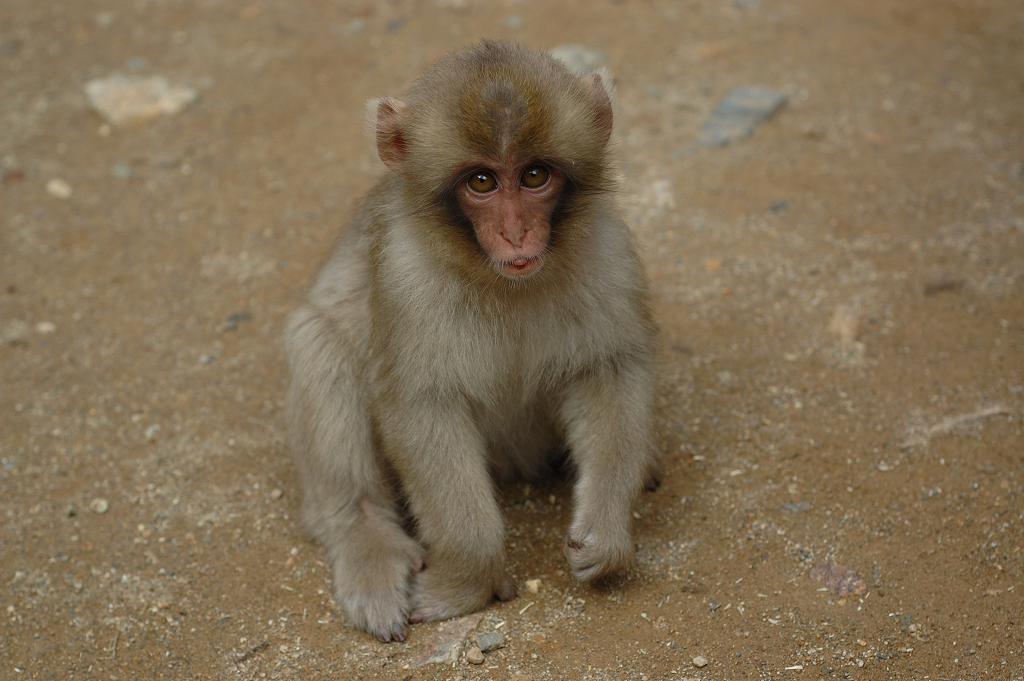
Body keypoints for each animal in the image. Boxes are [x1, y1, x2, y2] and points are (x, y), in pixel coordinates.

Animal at [286, 39, 655, 639]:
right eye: (481, 182)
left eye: (534, 175)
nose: (516, 233)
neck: (500, 280)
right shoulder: (406, 277)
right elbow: (421, 404)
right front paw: (467, 582)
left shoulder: (607, 250)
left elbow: (610, 370)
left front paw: (604, 531)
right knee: (320, 345)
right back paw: (365, 540)